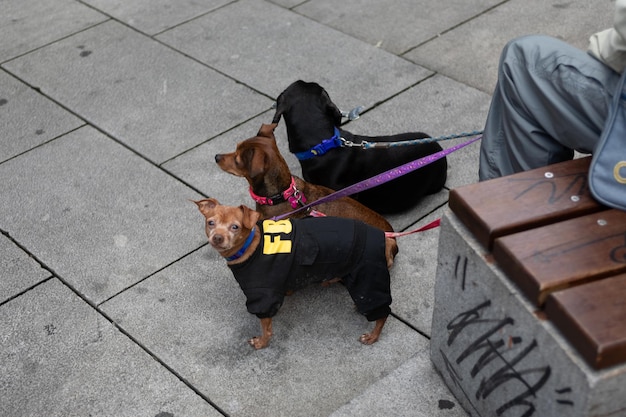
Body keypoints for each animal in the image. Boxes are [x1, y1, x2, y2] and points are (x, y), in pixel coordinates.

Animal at [193, 197, 392, 348]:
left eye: (235, 227)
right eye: (211, 223)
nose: (217, 238)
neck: (251, 245)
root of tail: (383, 236)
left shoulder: (262, 296)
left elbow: (266, 328)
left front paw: (261, 343)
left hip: (367, 278)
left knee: (383, 313)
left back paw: (373, 336)